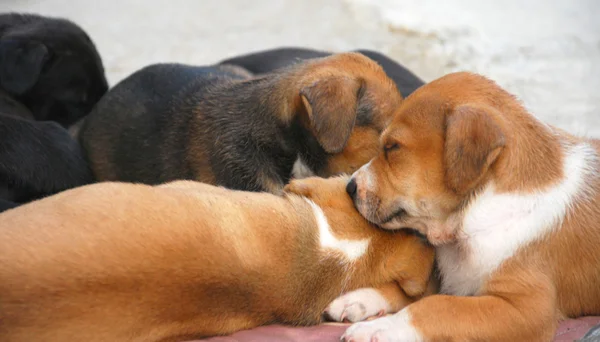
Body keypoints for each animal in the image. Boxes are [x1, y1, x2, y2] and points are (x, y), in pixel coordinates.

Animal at [336, 71, 600, 340]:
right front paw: (360, 299)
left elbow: (438, 306)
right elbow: (413, 291)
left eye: (392, 147)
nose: (350, 187)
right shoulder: (450, 279)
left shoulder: (527, 306)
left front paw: (379, 328)